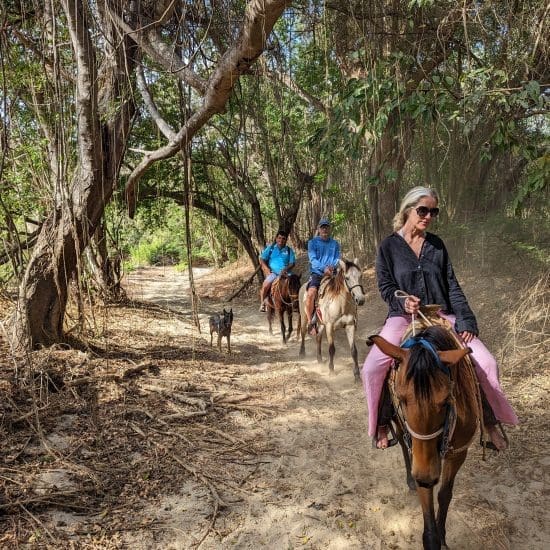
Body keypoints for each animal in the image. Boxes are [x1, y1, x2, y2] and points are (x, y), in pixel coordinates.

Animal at [370, 328, 484, 550]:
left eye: (447, 400)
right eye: (401, 398)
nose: (424, 477)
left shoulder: (457, 454)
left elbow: (445, 495)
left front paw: (443, 537)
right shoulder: (420, 458)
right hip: (399, 427)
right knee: (402, 445)